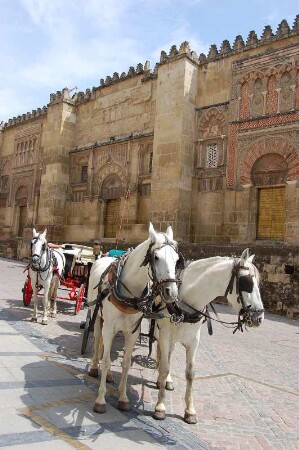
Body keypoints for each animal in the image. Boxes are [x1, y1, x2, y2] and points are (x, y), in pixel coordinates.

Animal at [87, 223, 180, 414]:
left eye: (176, 259)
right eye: (156, 257)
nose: (172, 293)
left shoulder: (133, 331)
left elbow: (126, 363)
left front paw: (123, 398)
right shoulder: (109, 327)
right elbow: (106, 361)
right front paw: (100, 400)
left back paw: (108, 376)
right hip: (97, 315)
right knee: (98, 340)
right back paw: (93, 368)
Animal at [155, 248, 264, 424]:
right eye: (246, 281)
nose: (259, 317)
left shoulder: (194, 341)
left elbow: (190, 374)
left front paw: (190, 411)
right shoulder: (164, 334)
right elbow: (165, 367)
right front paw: (160, 407)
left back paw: (166, 381)